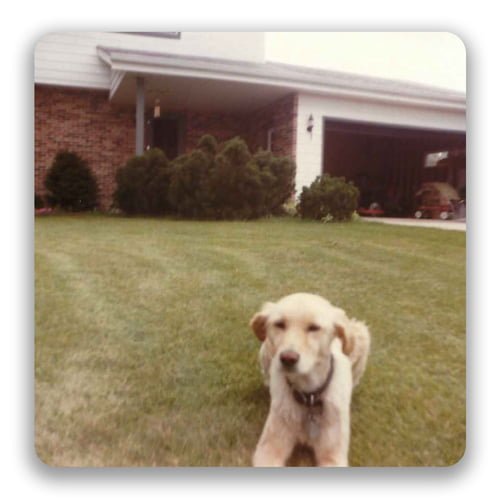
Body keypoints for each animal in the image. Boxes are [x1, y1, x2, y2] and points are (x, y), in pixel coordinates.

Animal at [250, 292, 372, 466]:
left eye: (314, 327)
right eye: (279, 324)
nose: (288, 359)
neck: (308, 395)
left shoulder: (333, 455)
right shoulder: (269, 449)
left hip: (362, 336)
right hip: (265, 351)